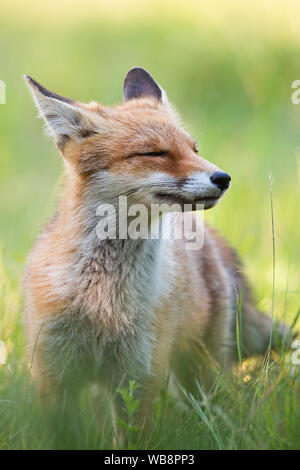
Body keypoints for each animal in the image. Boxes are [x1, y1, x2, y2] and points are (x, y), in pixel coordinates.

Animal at [24, 67, 292, 434]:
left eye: (194, 148)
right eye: (155, 153)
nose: (223, 178)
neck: (102, 299)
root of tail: (210, 236)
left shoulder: (138, 378)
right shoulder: (54, 377)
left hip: (202, 372)